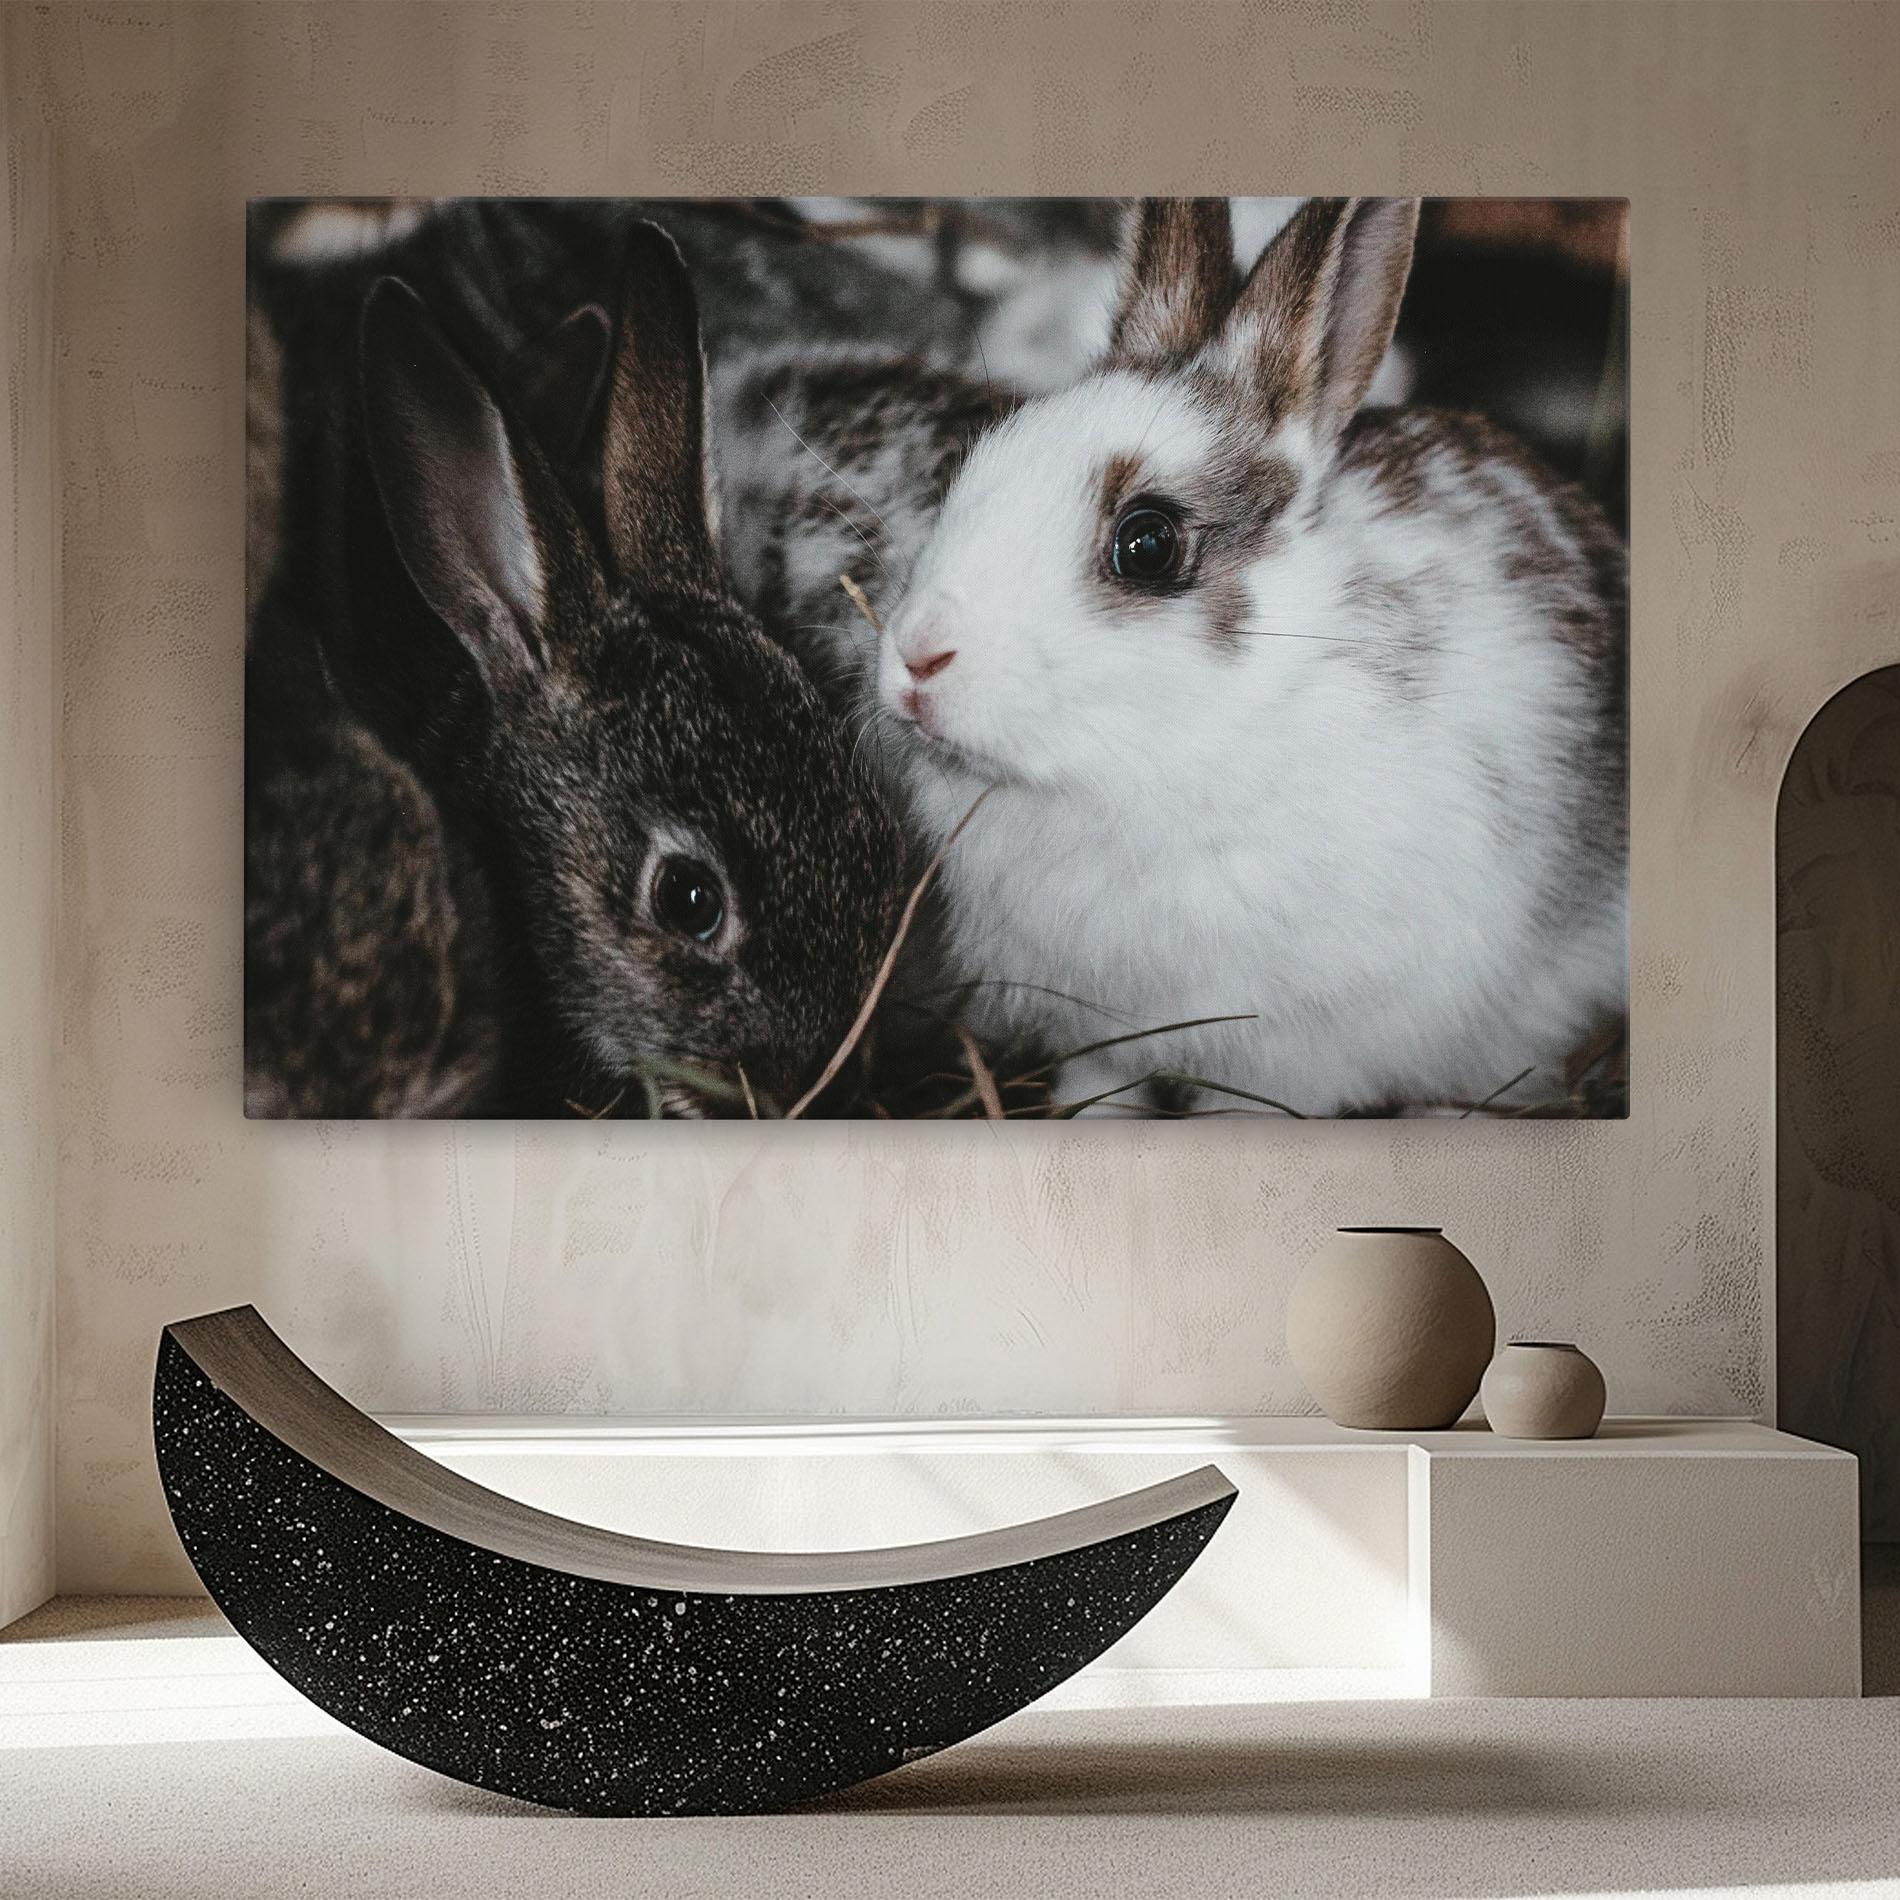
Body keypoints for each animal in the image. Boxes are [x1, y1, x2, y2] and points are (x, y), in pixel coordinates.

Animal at [852, 197, 1629, 1116]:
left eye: (1147, 543)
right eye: (978, 461)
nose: (917, 657)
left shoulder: (1292, 1050)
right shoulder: (1099, 1023)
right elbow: (1102, 1083)